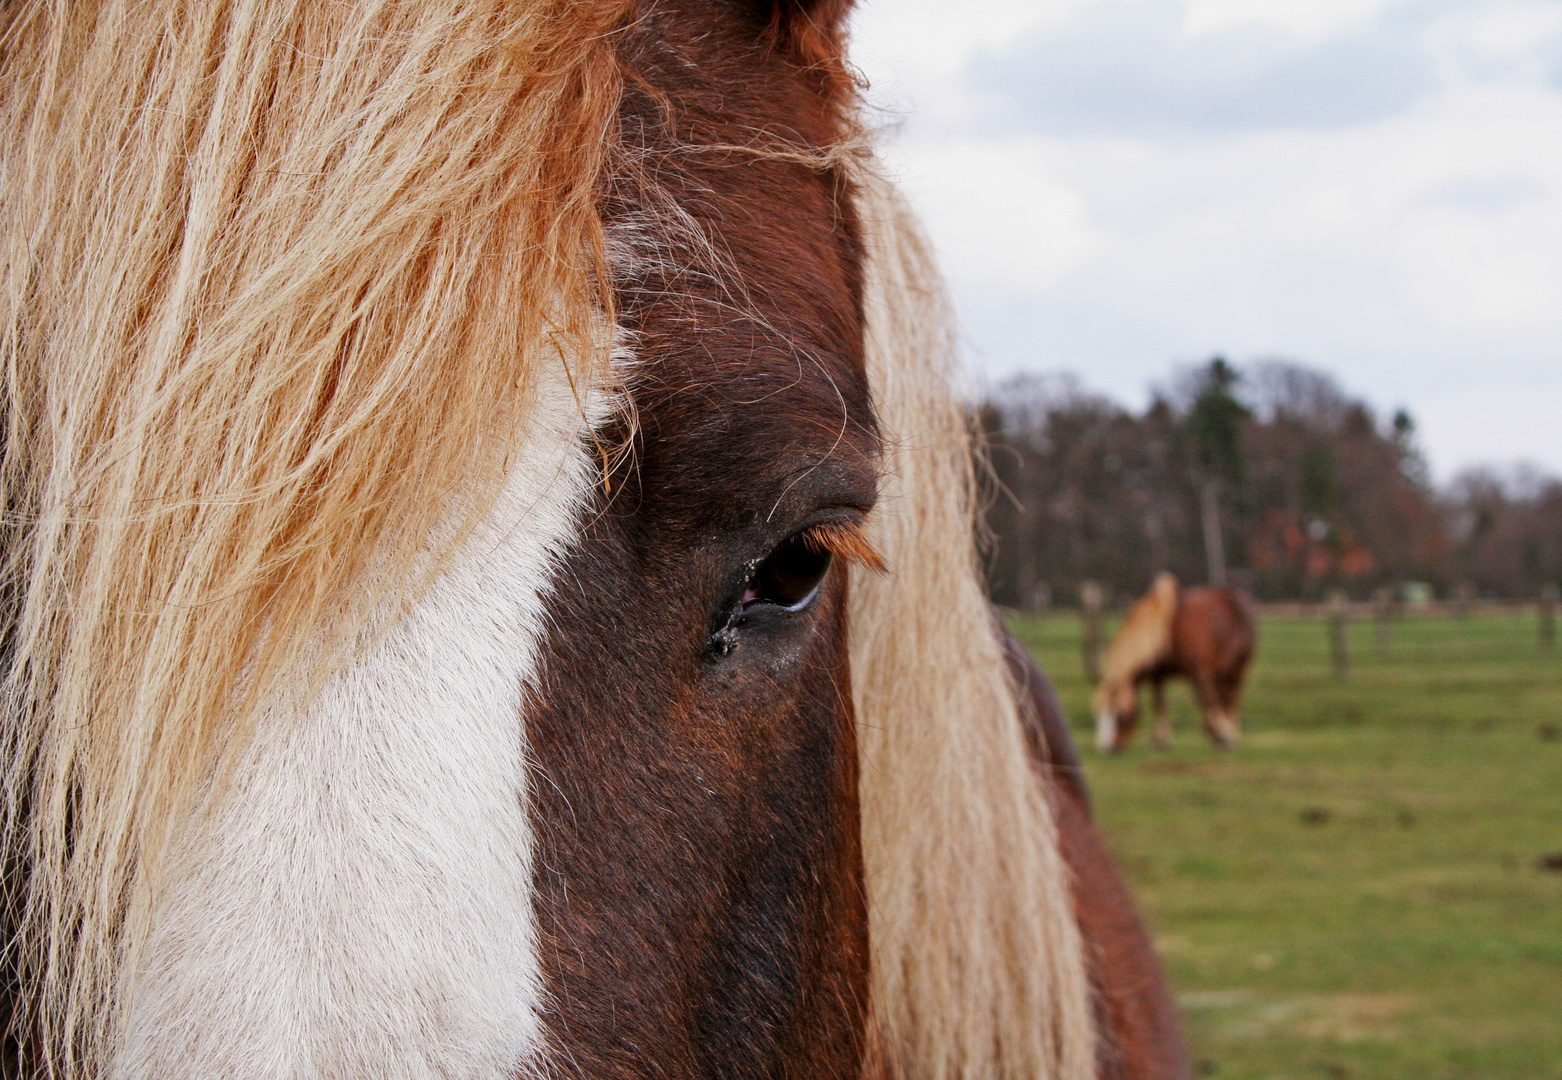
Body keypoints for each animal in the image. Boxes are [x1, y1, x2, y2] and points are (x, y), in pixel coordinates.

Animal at [1099, 575, 1255, 753]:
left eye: (1117, 713)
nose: (1106, 748)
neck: (1167, 632)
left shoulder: (1200, 672)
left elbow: (1207, 699)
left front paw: (1224, 736)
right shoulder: (1158, 675)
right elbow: (1160, 703)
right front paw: (1161, 740)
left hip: (1237, 670)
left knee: (1231, 698)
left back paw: (1227, 734)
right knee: (1224, 698)